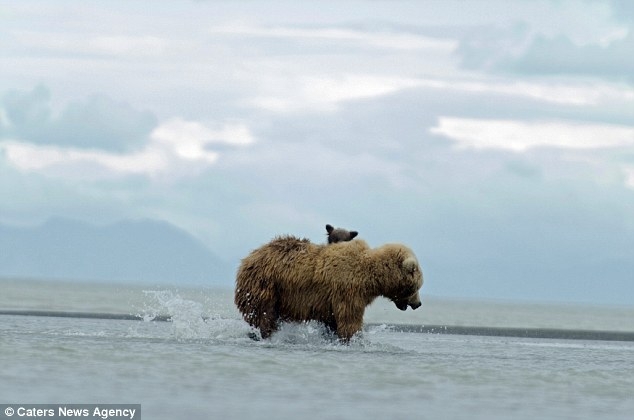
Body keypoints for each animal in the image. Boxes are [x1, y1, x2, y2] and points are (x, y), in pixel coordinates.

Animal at [235, 236, 422, 342]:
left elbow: (333, 322)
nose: (418, 303)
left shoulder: (331, 302)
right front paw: (354, 339)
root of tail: (248, 258)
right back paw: (266, 334)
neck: (371, 279)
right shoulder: (348, 291)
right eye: (417, 286)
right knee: (263, 315)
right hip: (266, 285)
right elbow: (349, 320)